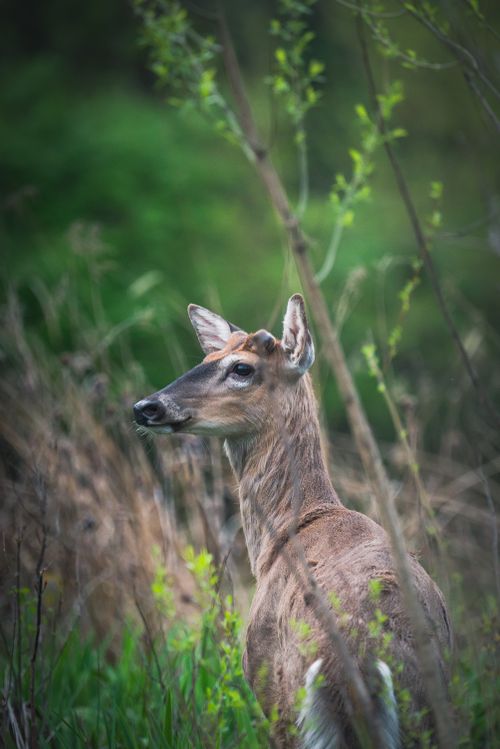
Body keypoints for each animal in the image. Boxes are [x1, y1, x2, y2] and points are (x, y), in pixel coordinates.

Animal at [133, 294, 452, 748]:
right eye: (207, 356)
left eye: (242, 368)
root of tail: (365, 666)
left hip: (294, 708)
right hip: (433, 711)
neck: (285, 535)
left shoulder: (260, 679)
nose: (146, 406)